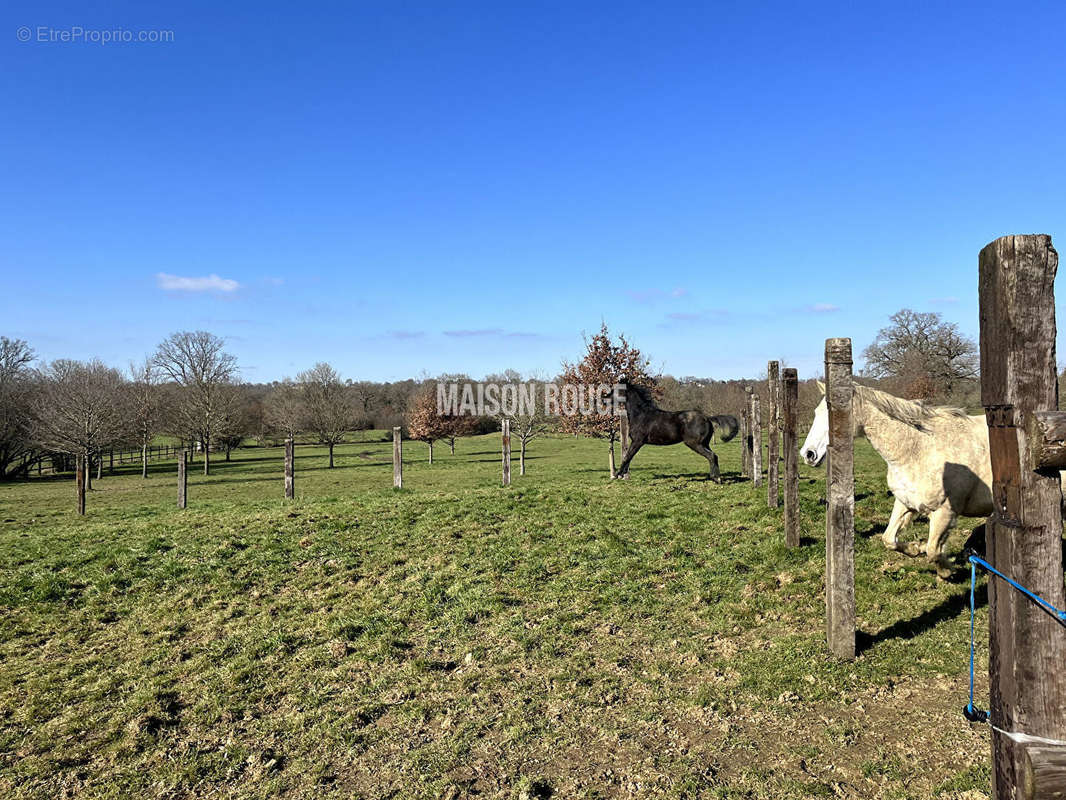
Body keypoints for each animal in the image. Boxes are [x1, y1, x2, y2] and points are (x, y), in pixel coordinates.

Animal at [801, 386, 993, 580]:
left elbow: (933, 551)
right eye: (816, 412)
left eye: (832, 413)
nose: (808, 454)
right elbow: (889, 539)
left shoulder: (944, 513)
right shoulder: (905, 503)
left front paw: (946, 571)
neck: (918, 449)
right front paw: (916, 548)